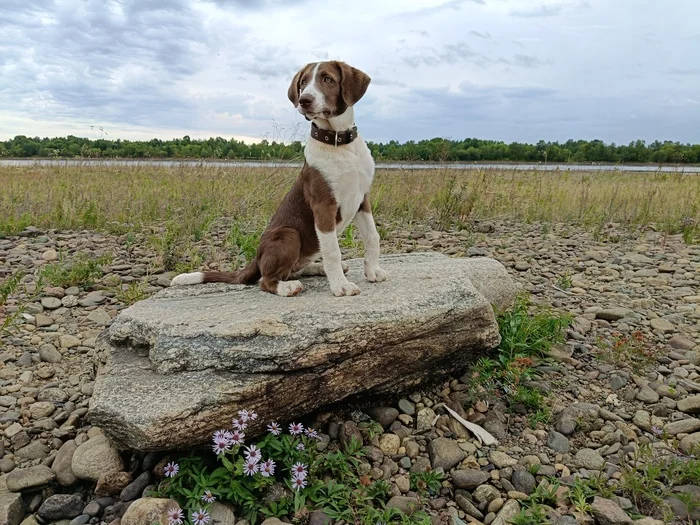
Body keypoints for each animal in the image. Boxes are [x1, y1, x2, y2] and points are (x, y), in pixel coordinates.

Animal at [171, 59, 388, 296]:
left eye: (328, 79)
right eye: (303, 83)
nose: (304, 100)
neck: (340, 144)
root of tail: (256, 258)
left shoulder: (362, 198)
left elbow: (372, 236)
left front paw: (373, 271)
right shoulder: (323, 205)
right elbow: (332, 250)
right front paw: (341, 285)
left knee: (292, 269)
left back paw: (317, 268)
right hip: (288, 234)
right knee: (266, 280)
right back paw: (288, 287)